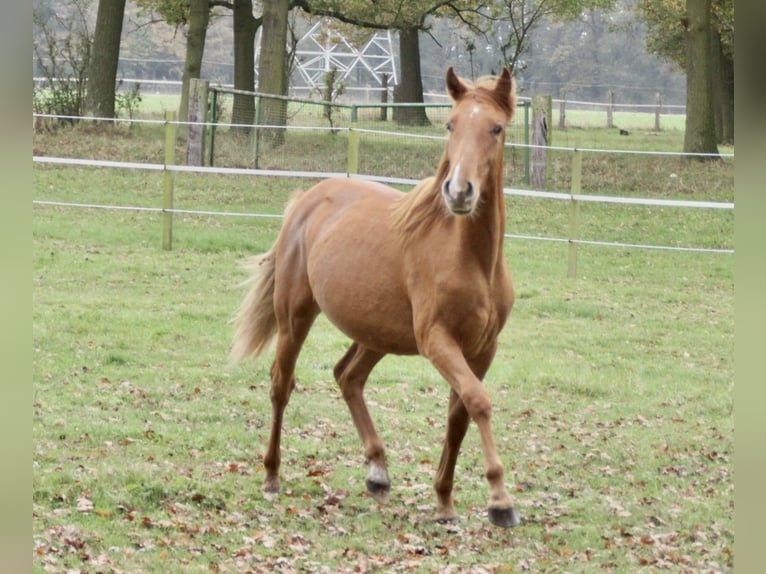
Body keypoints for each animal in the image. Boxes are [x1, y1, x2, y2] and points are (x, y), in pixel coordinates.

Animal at [232, 67, 520, 532]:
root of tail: (305, 201)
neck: (470, 257)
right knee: (281, 384)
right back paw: (272, 476)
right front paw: (499, 500)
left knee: (348, 376)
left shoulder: (482, 349)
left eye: (496, 128)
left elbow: (459, 415)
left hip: (377, 332)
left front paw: (444, 500)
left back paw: (378, 472)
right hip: (295, 317)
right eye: (451, 125)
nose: (459, 192)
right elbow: (478, 401)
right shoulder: (438, 341)